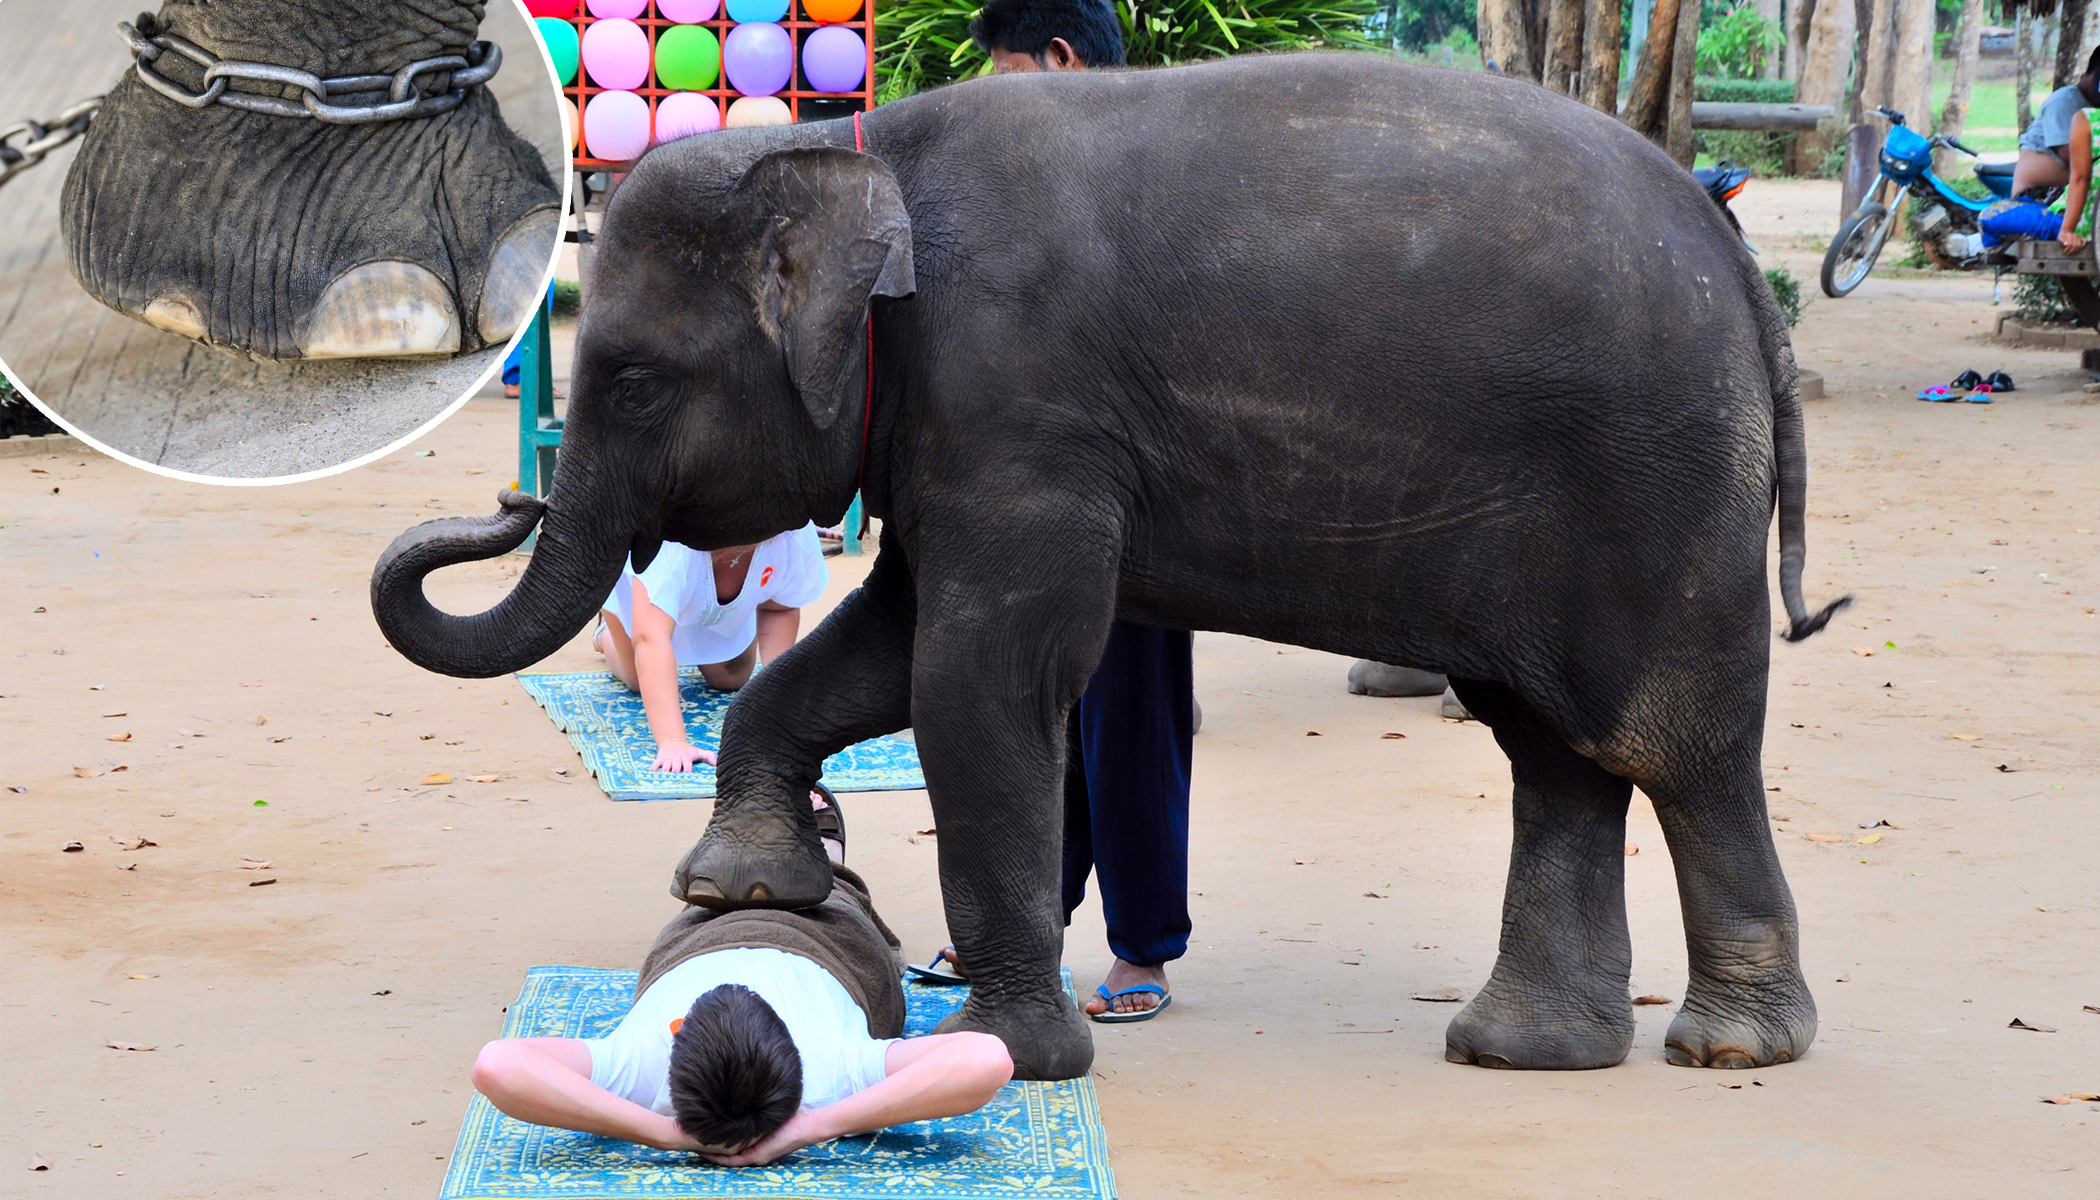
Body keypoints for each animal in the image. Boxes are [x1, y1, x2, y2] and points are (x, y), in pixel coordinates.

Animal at [371, 54, 1848, 1082]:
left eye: (630, 379)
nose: (504, 495)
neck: (855, 154)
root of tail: (1730, 250)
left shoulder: (1020, 402)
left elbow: (978, 677)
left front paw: (1008, 1059)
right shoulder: (958, 426)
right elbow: (887, 647)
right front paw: (743, 889)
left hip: (1659, 486)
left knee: (1670, 745)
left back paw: (1729, 1048)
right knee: (1554, 753)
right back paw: (1526, 1051)